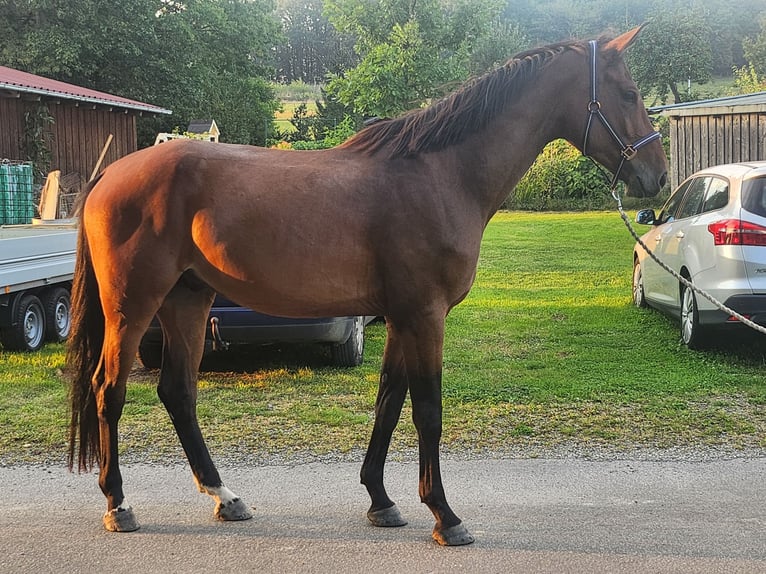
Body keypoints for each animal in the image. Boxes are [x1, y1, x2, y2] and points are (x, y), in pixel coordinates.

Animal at [66, 28, 664, 548]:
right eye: (630, 94)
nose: (656, 176)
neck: (440, 174)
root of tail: (109, 174)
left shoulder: (402, 316)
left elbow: (389, 401)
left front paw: (381, 500)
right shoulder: (425, 315)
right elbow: (427, 410)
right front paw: (445, 516)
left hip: (187, 299)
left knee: (178, 392)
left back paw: (226, 497)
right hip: (132, 306)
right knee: (109, 389)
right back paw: (119, 505)